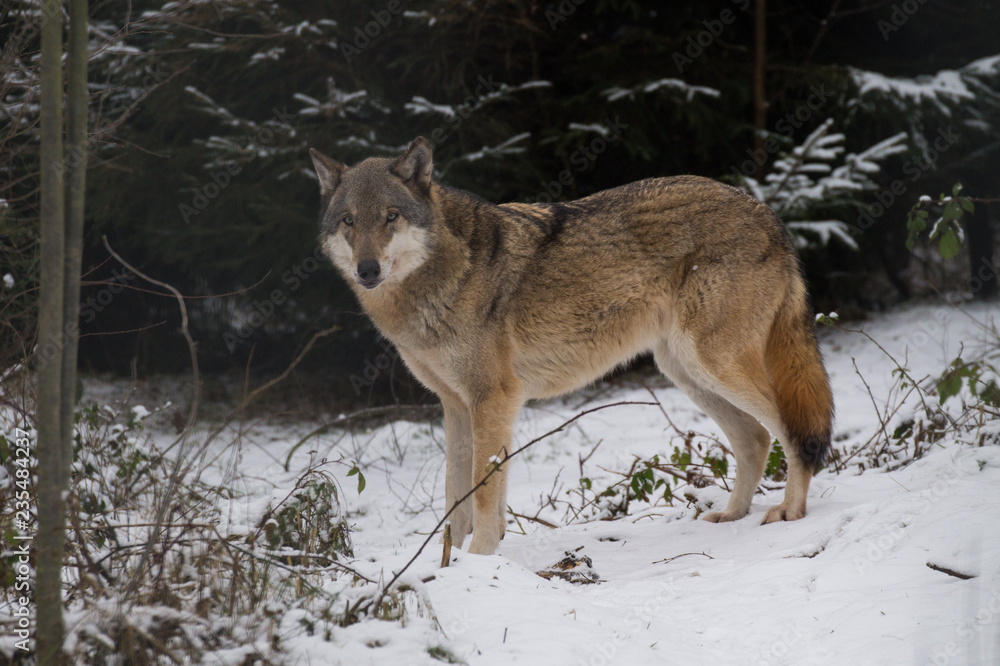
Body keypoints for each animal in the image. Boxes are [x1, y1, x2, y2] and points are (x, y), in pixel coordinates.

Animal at [310, 137, 834, 556]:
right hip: (685, 371)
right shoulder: (455, 406)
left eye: (391, 217)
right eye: (349, 221)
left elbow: (484, 496)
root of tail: (767, 213)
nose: (368, 269)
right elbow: (454, 498)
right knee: (755, 439)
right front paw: (449, 567)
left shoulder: (493, 401)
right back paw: (732, 515)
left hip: (713, 364)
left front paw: (478, 560)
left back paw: (789, 512)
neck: (442, 276)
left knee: (792, 431)